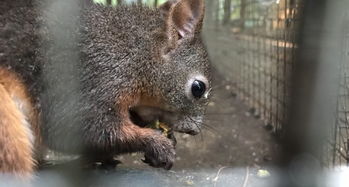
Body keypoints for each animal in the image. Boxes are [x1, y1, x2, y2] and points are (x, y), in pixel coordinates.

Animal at [0, 0, 211, 177]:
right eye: (198, 88)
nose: (194, 131)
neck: (134, 54)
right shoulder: (93, 77)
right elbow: (77, 127)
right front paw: (157, 145)